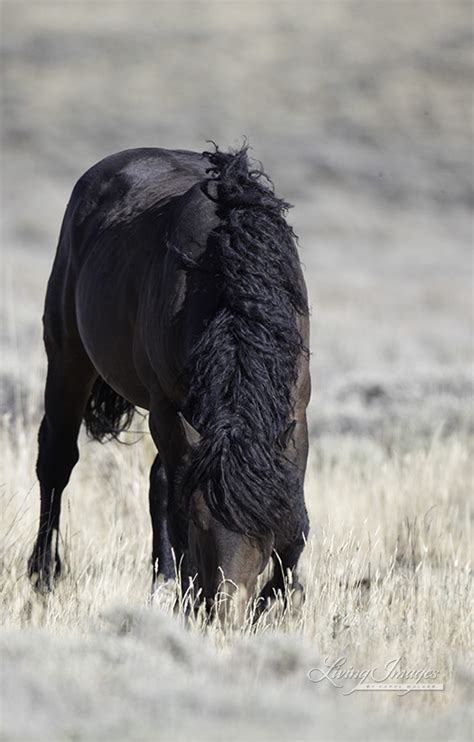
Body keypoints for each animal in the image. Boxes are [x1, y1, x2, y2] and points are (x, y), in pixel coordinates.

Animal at [28, 145, 312, 616]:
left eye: (262, 526)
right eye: (199, 524)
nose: (224, 610)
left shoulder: (294, 413)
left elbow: (296, 519)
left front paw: (273, 601)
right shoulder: (167, 406)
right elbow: (174, 499)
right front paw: (189, 594)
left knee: (158, 479)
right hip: (69, 354)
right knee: (57, 460)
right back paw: (43, 577)